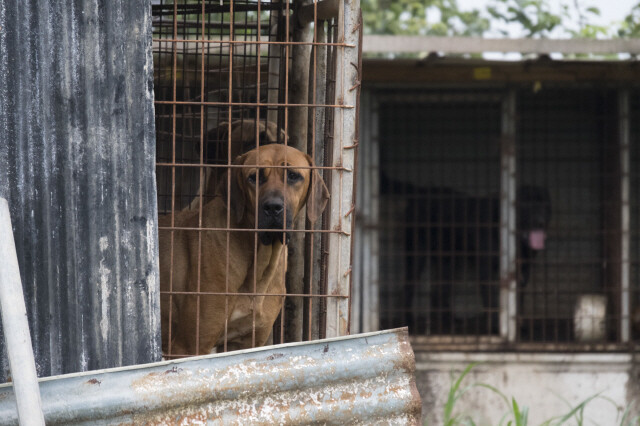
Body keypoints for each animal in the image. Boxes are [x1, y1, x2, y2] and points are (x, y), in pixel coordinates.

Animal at [380, 173, 552, 332]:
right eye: (525, 204)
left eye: (544, 204)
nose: (540, 221)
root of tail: (422, 191)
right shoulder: (486, 270)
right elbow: (492, 299)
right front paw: (496, 327)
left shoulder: (524, 270)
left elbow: (519, 299)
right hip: (417, 255)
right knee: (408, 289)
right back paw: (409, 320)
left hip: (448, 261)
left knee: (439, 292)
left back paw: (448, 321)